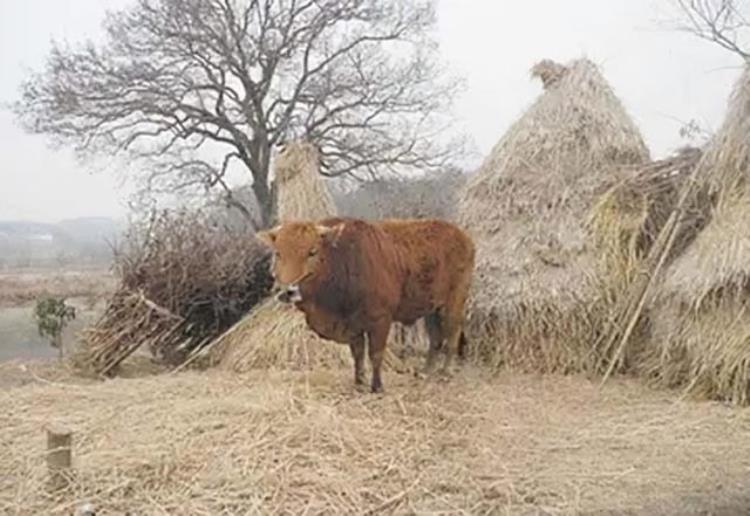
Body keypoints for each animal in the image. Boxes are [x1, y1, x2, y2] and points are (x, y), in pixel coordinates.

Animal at [258, 216, 476, 394]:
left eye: (312, 252)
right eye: (278, 253)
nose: (287, 291)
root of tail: (463, 236)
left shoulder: (380, 321)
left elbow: (375, 354)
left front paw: (377, 386)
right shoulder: (352, 325)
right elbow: (358, 354)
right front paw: (359, 382)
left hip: (453, 304)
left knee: (452, 335)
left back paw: (445, 372)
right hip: (431, 309)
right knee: (435, 338)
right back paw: (425, 371)